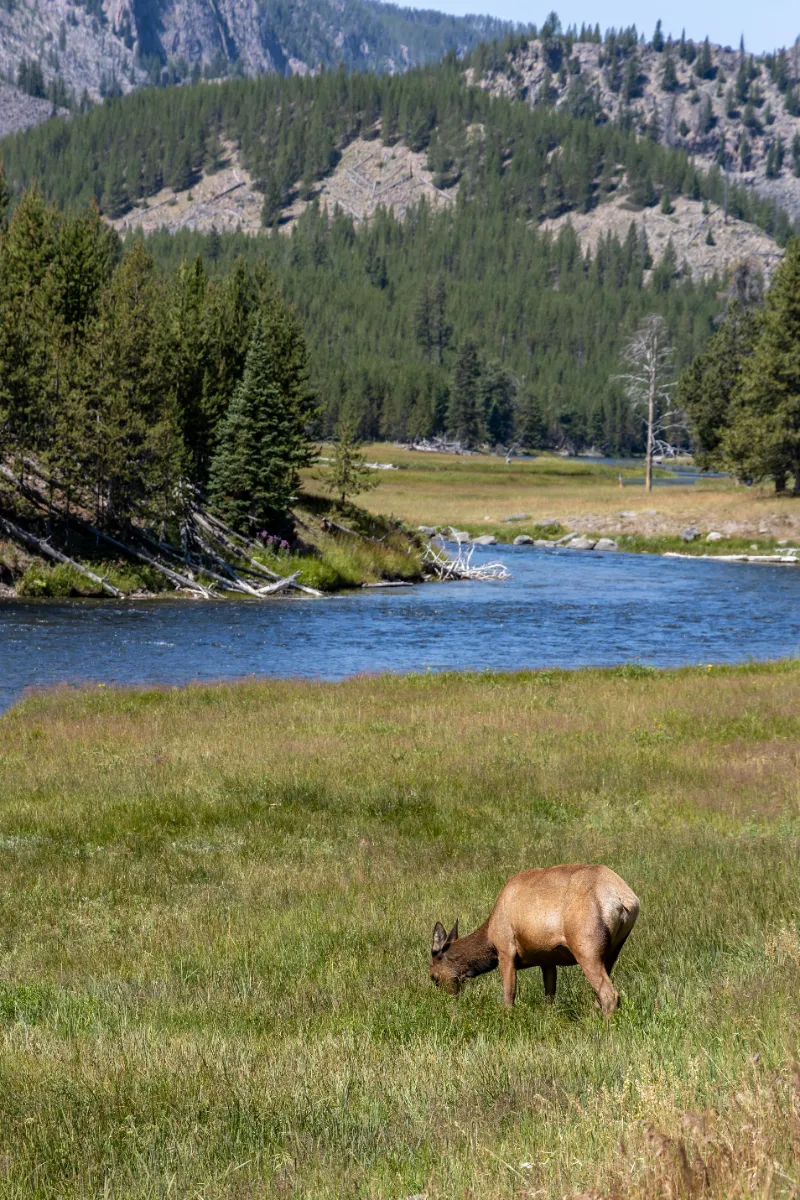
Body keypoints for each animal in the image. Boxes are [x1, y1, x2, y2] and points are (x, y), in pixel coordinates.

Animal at [429, 864, 639, 1016]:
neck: (489, 934)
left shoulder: (505, 950)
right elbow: (549, 998)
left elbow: (509, 996)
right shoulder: (547, 960)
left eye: (434, 977)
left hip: (586, 947)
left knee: (609, 995)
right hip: (613, 950)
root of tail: (625, 900)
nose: (445, 1003)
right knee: (600, 995)